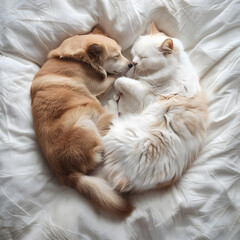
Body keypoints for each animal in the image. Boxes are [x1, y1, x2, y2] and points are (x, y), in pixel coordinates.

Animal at [30, 26, 133, 216]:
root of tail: (67, 175)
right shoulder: (98, 85)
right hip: (84, 124)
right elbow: (111, 77)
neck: (74, 58)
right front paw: (118, 75)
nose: (130, 64)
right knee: (104, 135)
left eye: (122, 53)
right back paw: (111, 108)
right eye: (116, 56)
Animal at [101, 23, 208, 193]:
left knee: (109, 121)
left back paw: (113, 102)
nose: (133, 62)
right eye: (134, 53)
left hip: (118, 130)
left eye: (143, 57)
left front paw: (120, 90)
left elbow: (121, 81)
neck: (174, 68)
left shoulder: (146, 94)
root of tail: (127, 179)